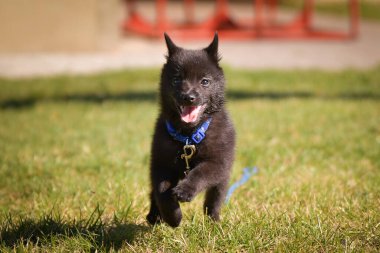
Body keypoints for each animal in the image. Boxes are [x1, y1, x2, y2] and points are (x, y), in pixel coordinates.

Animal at [145, 32, 235, 227]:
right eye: (176, 79)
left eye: (205, 81)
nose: (189, 97)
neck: (189, 136)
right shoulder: (160, 163)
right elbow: (161, 190)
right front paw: (173, 217)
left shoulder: (218, 162)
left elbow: (200, 172)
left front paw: (185, 190)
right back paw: (154, 216)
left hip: (223, 178)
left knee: (214, 198)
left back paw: (213, 221)